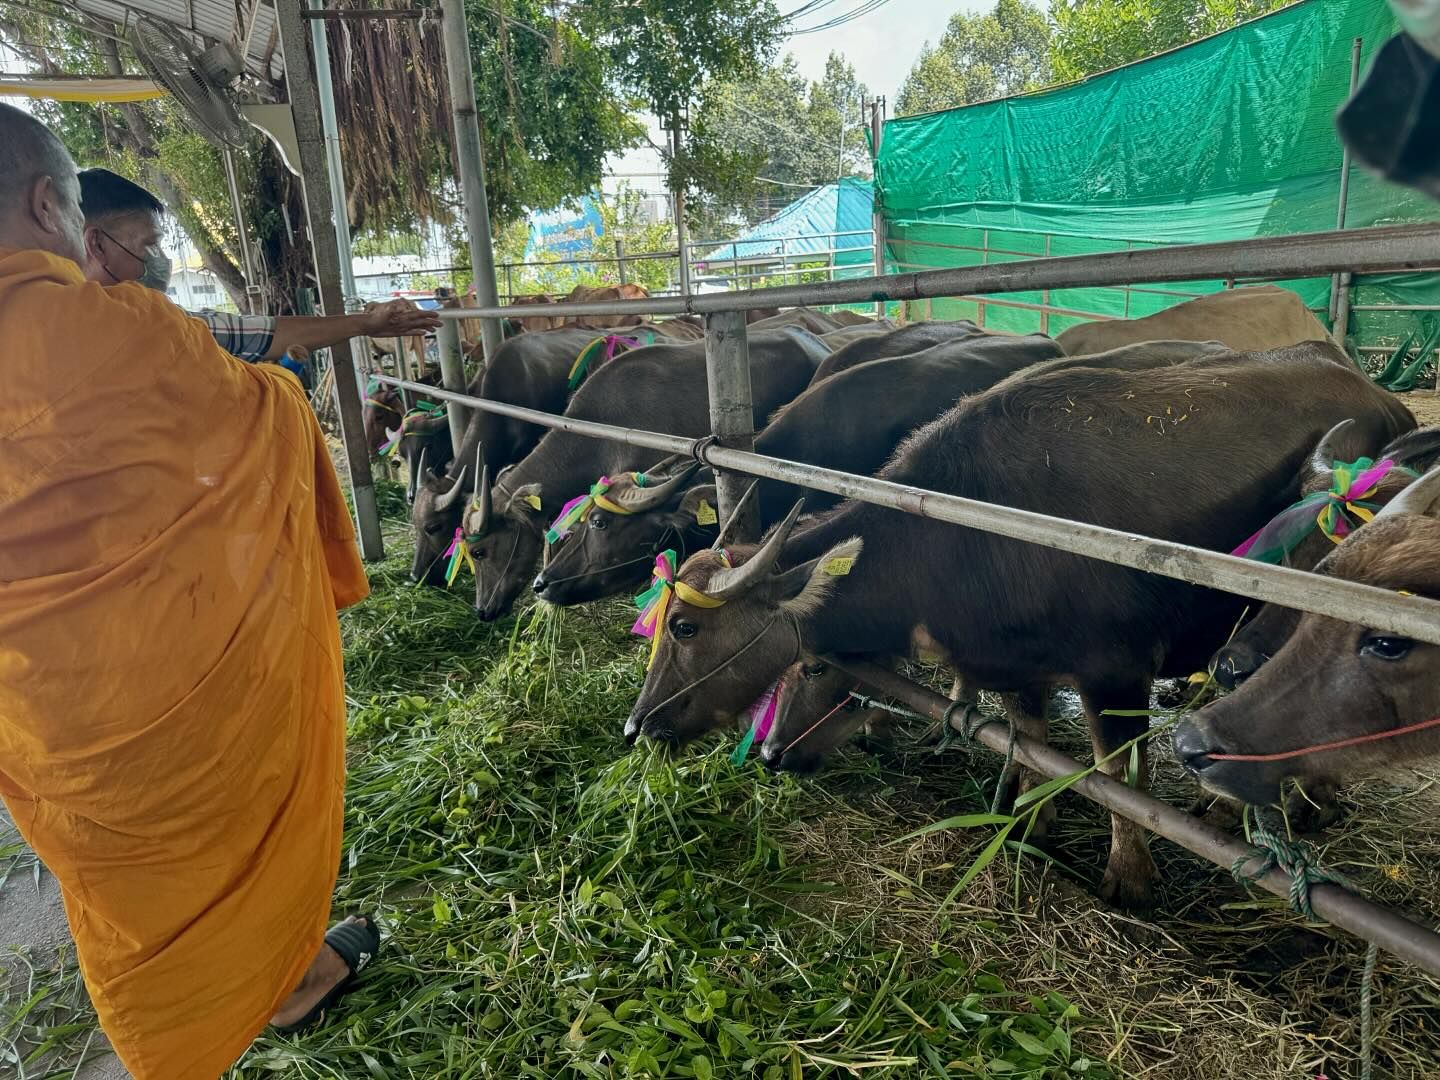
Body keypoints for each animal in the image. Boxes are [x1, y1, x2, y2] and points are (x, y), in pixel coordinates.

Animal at [624, 344, 1411, 904]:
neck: (960, 532)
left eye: (685, 630)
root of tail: (1383, 398)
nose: (640, 725)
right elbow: (1033, 745)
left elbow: (1117, 775)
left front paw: (1130, 875)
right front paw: (1032, 818)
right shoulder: (1018, 670)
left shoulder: (1115, 672)